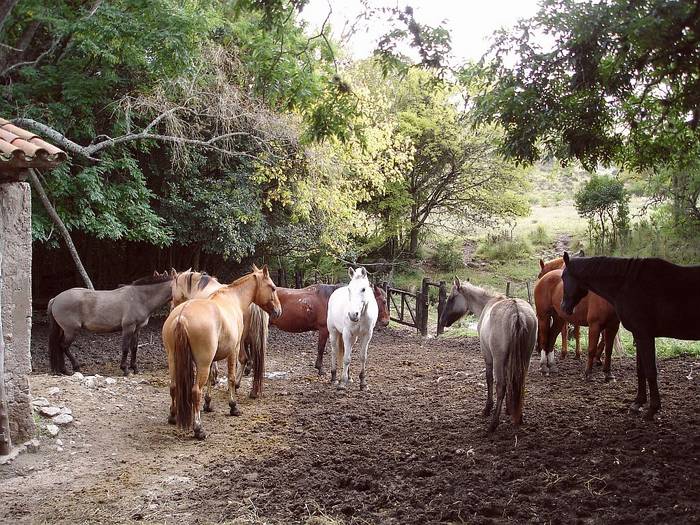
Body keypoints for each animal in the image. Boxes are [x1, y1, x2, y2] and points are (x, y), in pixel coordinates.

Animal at [170, 270, 268, 398]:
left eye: (171, 287)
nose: (172, 307)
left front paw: (214, 377)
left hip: (241, 340)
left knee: (243, 359)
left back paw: (235, 385)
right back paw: (251, 390)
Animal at [440, 278, 540, 430]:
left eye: (451, 298)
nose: (442, 320)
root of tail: (517, 313)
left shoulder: (488, 357)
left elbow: (489, 379)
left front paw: (487, 408)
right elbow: (510, 380)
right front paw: (509, 409)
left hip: (498, 360)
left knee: (500, 387)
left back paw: (494, 423)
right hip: (525, 358)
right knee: (520, 383)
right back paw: (519, 416)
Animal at [560, 252, 700, 420]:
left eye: (563, 277)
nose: (563, 307)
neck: (628, 285)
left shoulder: (644, 336)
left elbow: (650, 371)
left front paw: (652, 409)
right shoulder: (638, 336)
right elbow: (641, 371)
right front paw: (638, 403)